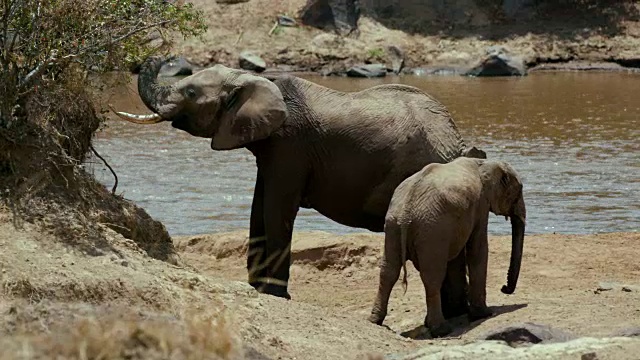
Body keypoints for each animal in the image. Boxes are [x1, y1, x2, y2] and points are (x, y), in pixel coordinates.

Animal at [114, 56, 484, 318]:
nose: (162, 54)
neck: (257, 81)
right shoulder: (270, 150)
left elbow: (276, 209)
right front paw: (255, 287)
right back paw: (455, 314)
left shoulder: (290, 147)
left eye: (190, 93)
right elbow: (258, 208)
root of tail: (455, 136)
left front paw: (274, 294)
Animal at [368, 157, 528, 338]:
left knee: (388, 271)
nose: (504, 288)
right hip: (432, 229)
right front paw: (483, 314)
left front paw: (460, 312)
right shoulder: (480, 204)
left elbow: (457, 257)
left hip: (394, 226)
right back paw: (441, 329)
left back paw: (375, 320)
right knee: (432, 277)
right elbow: (478, 248)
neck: (484, 163)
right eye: (519, 190)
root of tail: (406, 212)